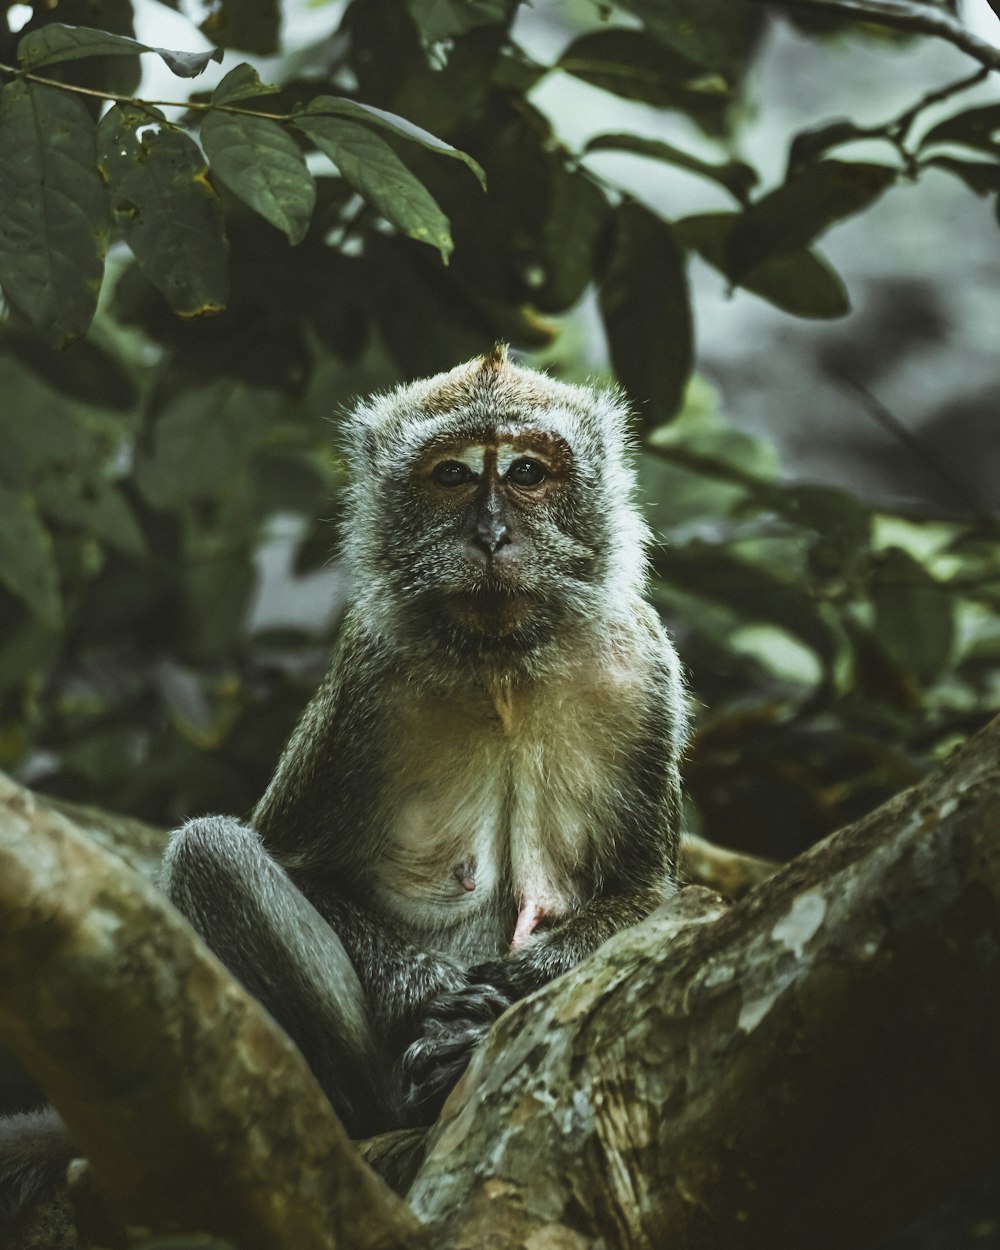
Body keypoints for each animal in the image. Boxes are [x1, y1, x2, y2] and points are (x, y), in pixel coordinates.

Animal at [0, 345, 690, 1220]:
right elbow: (297, 864)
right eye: (453, 476)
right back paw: (398, 1092)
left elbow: (647, 894)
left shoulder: (643, 668)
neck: (500, 662)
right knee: (210, 853)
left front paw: (520, 980)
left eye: (529, 472)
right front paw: (429, 991)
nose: (492, 533)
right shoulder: (368, 673)